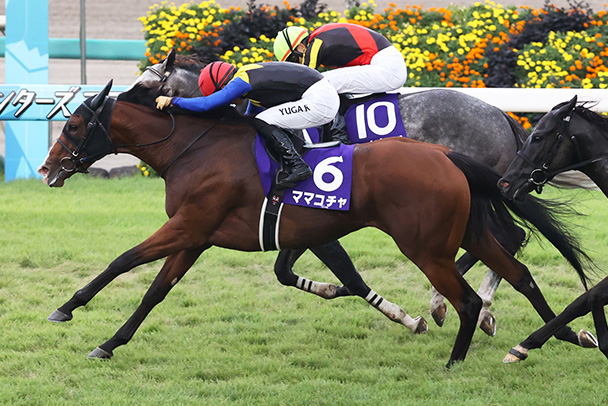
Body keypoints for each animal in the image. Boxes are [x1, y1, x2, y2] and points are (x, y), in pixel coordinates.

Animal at [37, 81, 596, 368]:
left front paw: (67, 308)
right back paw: (564, 336)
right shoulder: (201, 234)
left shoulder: (191, 226)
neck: (195, 147)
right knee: (519, 269)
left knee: (470, 293)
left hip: (426, 245)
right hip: (466, 230)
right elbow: (157, 290)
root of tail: (446, 153)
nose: (46, 168)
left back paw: (455, 348)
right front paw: (109, 343)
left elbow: (123, 260)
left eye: (73, 124)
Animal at [132, 50, 536, 336]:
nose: (122, 100)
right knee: (506, 239)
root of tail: (501, 115)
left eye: (147, 85)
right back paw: (470, 308)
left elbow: (315, 271)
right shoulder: (298, 212)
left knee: (506, 239)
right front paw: (335, 290)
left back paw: (458, 304)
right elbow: (285, 270)